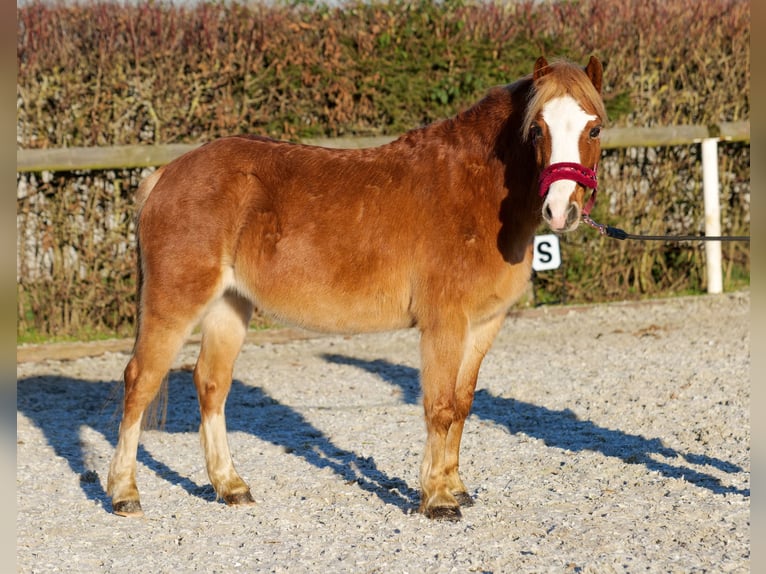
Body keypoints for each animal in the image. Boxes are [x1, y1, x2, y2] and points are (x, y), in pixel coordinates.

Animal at [108, 57, 608, 520]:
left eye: (595, 128)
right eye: (537, 129)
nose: (560, 209)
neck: (474, 188)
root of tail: (165, 175)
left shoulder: (484, 323)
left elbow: (463, 405)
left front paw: (456, 486)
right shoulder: (445, 322)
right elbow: (440, 406)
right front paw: (438, 499)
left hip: (228, 306)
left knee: (212, 384)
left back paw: (231, 487)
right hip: (175, 304)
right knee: (140, 382)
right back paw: (124, 493)